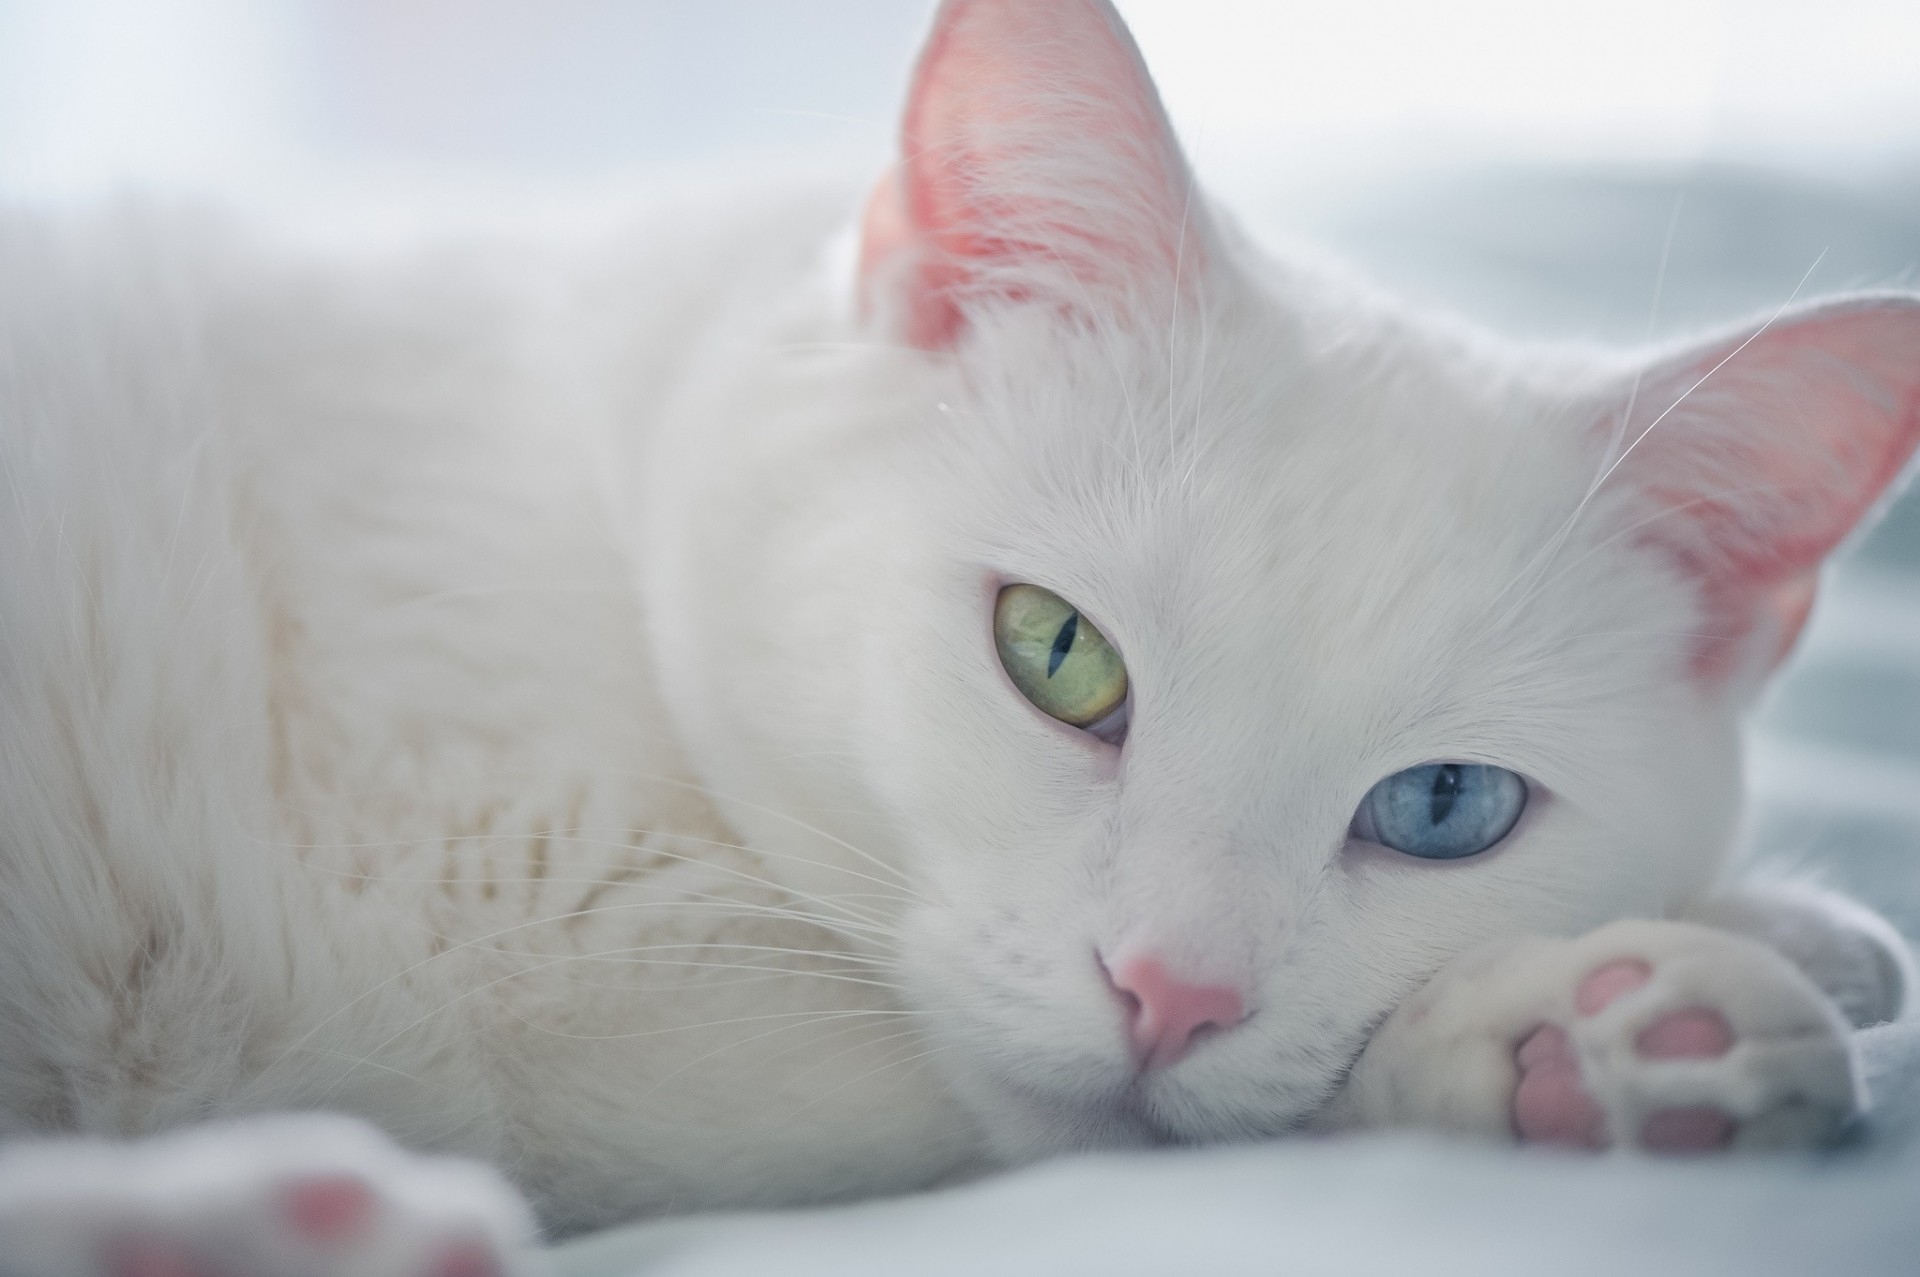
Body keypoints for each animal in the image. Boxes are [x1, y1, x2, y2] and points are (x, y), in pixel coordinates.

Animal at [3, 0, 1920, 1267]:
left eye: (1444, 808)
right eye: (1057, 651)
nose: (1170, 991)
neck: (604, 482)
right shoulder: (542, 983)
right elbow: (1106, 1122)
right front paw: (1619, 1013)